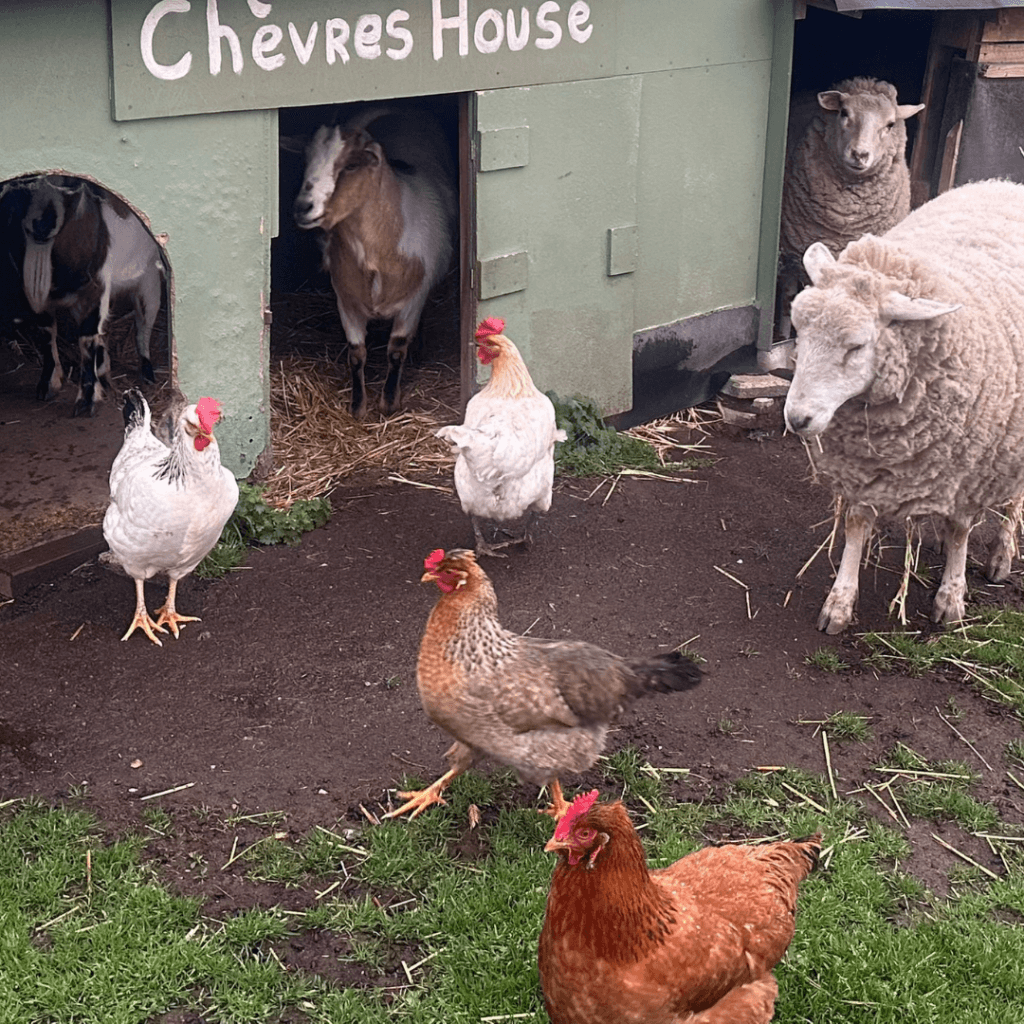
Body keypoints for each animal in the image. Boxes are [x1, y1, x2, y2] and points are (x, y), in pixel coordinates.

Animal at [21, 175, 165, 417]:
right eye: (25, 183)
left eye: (71, 183)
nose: (42, 224)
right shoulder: (41, 297)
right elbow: (47, 332)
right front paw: (48, 385)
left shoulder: (96, 288)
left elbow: (87, 339)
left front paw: (87, 401)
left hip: (149, 278)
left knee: (144, 321)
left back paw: (146, 374)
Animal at [292, 104, 457, 420]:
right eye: (305, 159)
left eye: (351, 166)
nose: (303, 207)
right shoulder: (346, 301)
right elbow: (357, 354)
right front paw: (358, 407)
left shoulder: (412, 300)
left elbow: (396, 350)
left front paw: (389, 403)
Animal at [777, 78, 924, 340]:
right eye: (844, 113)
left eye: (890, 124)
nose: (860, 154)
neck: (846, 220)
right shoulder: (792, 256)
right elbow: (789, 299)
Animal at [783, 179, 1024, 634]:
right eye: (798, 330)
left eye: (857, 346)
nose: (797, 418)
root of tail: (1004, 184)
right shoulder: (862, 468)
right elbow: (857, 523)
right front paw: (840, 600)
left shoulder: (971, 470)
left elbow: (961, 528)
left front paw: (951, 597)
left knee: (1013, 500)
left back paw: (1002, 555)